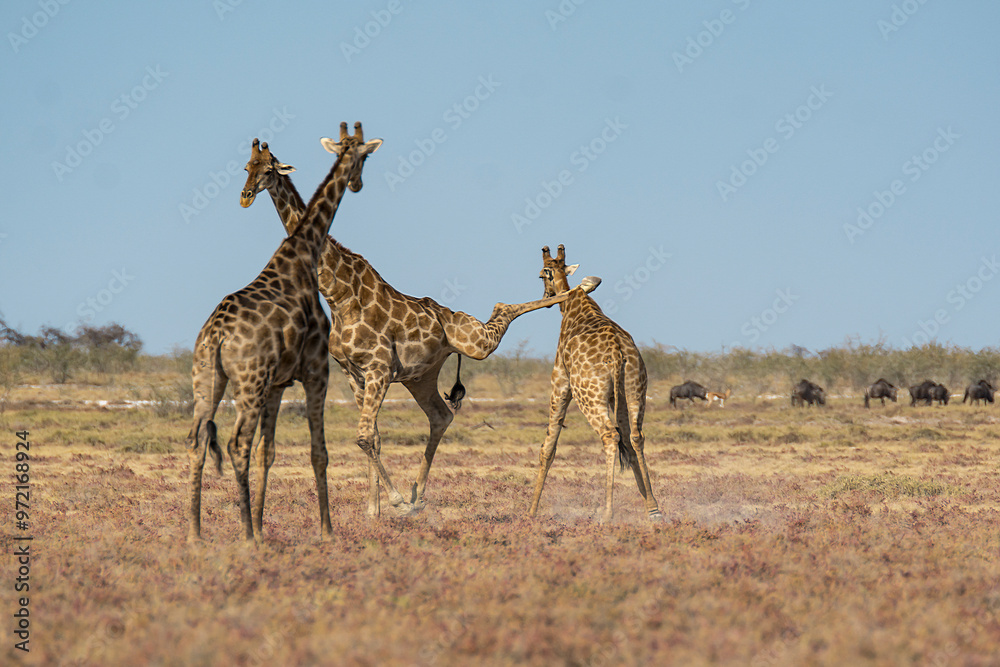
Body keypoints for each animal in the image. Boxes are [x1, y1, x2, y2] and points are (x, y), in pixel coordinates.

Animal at [186, 122, 382, 541]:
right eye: (364, 156)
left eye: (264, 168)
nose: (357, 183)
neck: (304, 251)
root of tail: (216, 337)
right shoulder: (316, 371)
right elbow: (318, 452)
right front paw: (326, 531)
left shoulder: (277, 383)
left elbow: (269, 452)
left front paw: (262, 526)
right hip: (248, 383)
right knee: (236, 444)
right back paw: (244, 535)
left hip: (208, 380)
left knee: (197, 440)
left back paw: (195, 533)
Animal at [239, 142, 601, 516]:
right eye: (246, 167)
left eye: (269, 168)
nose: (246, 195)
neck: (337, 295)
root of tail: (448, 317)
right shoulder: (353, 373)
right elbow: (372, 436)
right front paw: (374, 509)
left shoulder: (378, 369)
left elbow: (365, 435)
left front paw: (394, 501)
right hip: (421, 376)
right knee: (441, 416)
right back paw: (419, 495)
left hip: (474, 344)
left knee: (500, 311)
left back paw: (580, 284)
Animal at [528, 244, 661, 523]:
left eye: (540, 275)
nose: (546, 297)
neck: (572, 305)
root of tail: (617, 352)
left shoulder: (560, 382)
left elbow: (548, 446)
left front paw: (531, 511)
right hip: (634, 390)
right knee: (635, 437)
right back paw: (653, 508)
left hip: (589, 395)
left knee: (610, 435)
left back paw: (607, 513)